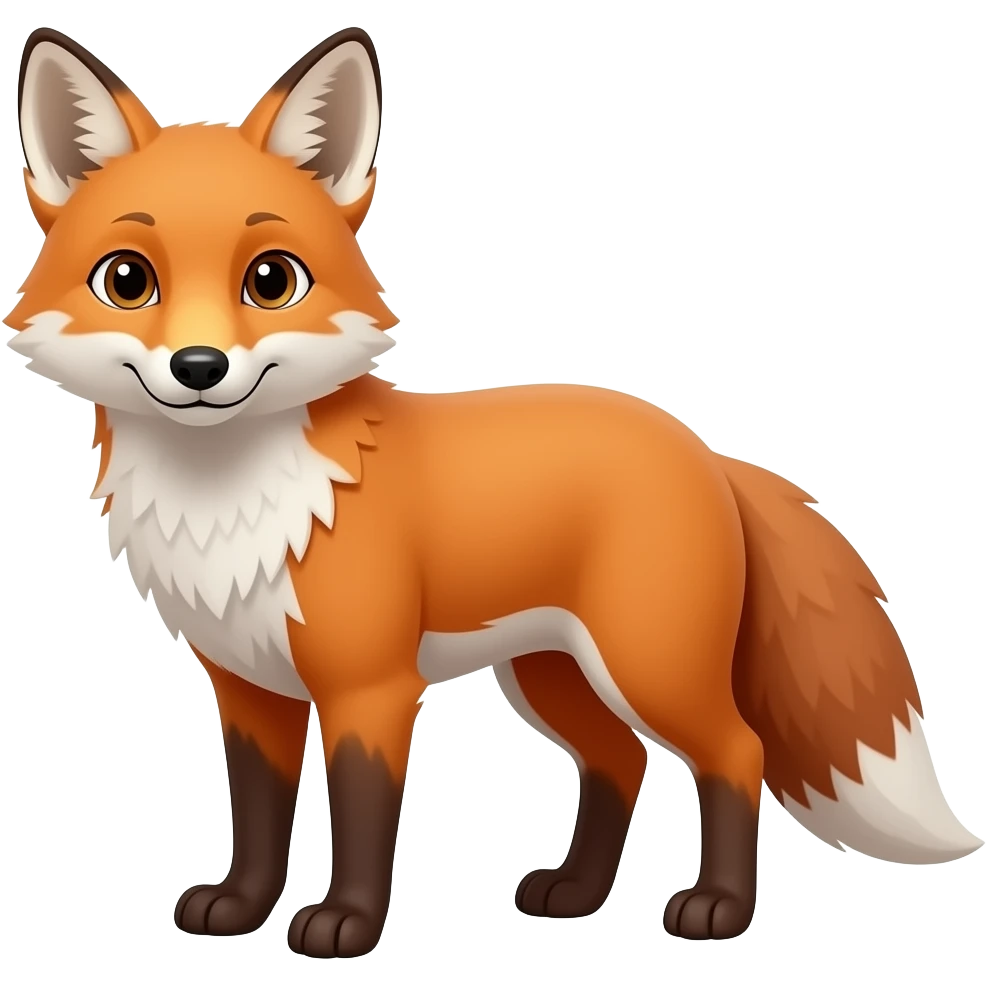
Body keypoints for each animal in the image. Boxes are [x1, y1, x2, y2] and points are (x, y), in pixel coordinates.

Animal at [5, 25, 982, 958]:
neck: (234, 503)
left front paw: (346, 926)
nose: (199, 368)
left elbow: (363, 816)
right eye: (128, 280)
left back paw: (719, 910)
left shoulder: (371, 687)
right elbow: (256, 816)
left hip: (648, 664)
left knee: (737, 752)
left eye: (271, 279)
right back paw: (575, 894)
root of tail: (705, 449)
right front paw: (240, 910)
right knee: (620, 762)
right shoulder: (251, 688)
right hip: (553, 674)